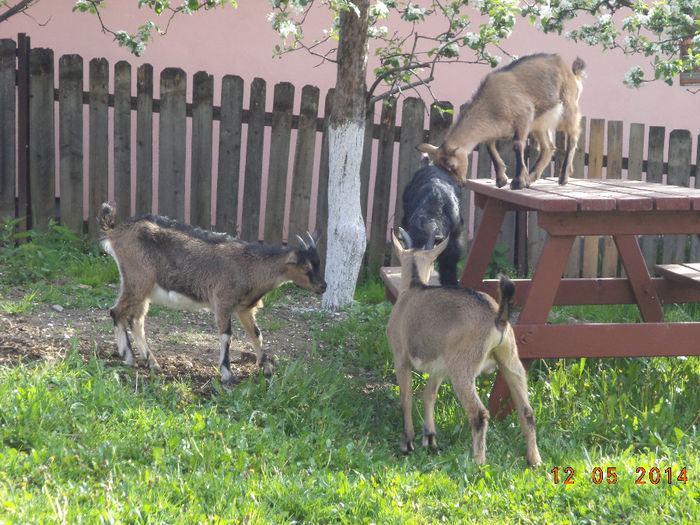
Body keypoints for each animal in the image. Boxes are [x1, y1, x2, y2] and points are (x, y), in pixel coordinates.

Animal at [98, 203, 328, 382]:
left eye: (318, 262)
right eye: (306, 266)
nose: (323, 286)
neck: (251, 265)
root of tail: (115, 231)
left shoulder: (245, 308)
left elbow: (257, 334)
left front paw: (267, 367)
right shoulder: (223, 302)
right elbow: (226, 335)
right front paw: (227, 374)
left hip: (144, 289)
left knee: (135, 320)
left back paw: (152, 362)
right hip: (136, 281)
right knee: (117, 312)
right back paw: (130, 358)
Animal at [416, 52, 584, 190]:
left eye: (452, 165)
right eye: (439, 166)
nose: (460, 184)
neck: (491, 102)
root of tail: (572, 74)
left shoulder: (524, 115)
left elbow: (518, 145)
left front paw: (517, 181)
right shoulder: (495, 129)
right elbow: (490, 147)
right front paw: (501, 179)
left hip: (568, 109)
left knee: (573, 137)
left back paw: (563, 177)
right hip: (540, 124)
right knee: (548, 147)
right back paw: (531, 178)